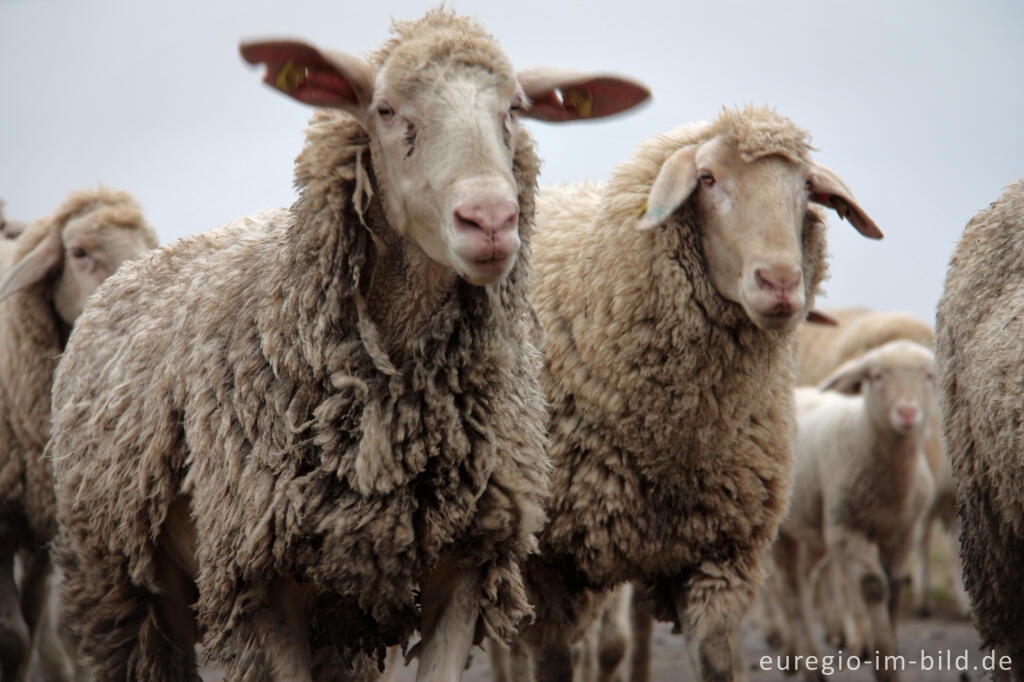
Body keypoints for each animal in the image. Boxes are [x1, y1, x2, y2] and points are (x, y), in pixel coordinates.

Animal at [44, 10, 651, 679]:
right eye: (385, 109)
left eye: (515, 107)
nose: (491, 221)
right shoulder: (260, 571)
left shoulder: (465, 561)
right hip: (129, 579)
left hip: (336, 614)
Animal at [512, 102, 880, 679]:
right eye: (707, 178)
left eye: (805, 187)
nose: (780, 283)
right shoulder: (547, 564)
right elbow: (550, 662)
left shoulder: (720, 560)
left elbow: (714, 660)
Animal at [770, 339, 937, 679]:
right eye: (877, 376)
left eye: (929, 376)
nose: (908, 413)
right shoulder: (846, 529)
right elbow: (874, 587)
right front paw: (883, 664)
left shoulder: (905, 532)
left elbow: (894, 589)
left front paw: (888, 653)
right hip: (787, 531)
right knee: (790, 591)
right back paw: (810, 667)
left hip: (815, 530)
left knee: (802, 581)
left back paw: (797, 657)